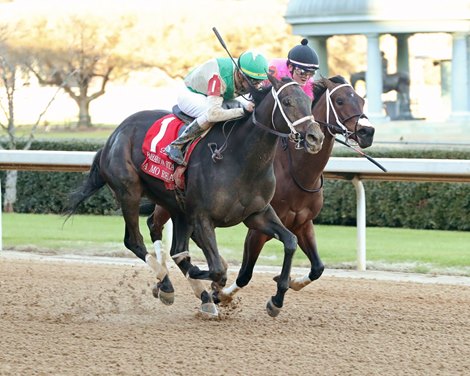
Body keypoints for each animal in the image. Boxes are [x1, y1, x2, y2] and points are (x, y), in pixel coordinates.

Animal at [65, 75, 324, 318]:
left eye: (309, 100)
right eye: (287, 101)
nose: (315, 137)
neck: (240, 159)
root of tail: (113, 136)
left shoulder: (257, 214)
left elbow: (289, 241)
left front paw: (276, 300)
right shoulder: (202, 217)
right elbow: (217, 268)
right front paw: (211, 283)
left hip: (176, 206)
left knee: (176, 247)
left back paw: (201, 297)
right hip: (129, 192)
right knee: (136, 241)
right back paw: (167, 284)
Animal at [149, 75, 376, 312]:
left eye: (362, 100)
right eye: (340, 101)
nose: (367, 132)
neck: (296, 172)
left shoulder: (302, 223)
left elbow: (317, 267)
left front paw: (291, 283)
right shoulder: (257, 227)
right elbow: (245, 274)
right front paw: (223, 294)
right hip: (168, 202)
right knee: (154, 225)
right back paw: (165, 284)